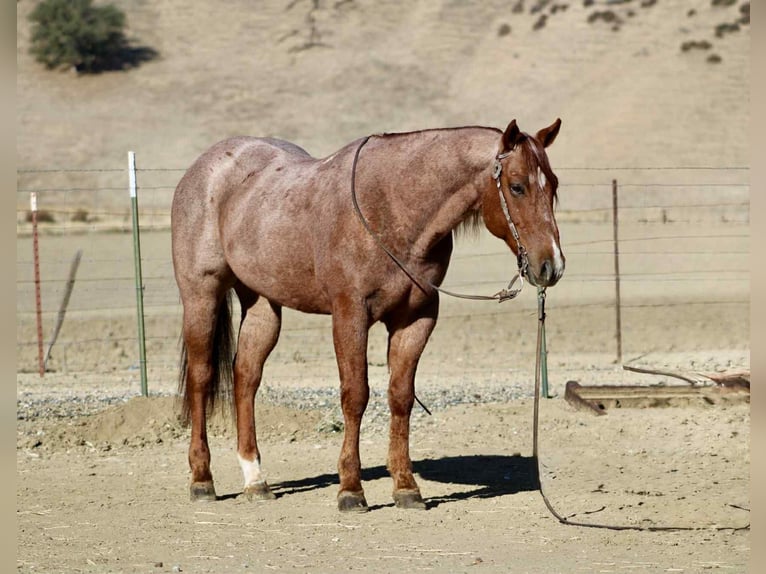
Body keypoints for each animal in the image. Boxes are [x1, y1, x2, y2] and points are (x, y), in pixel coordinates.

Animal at [171, 118, 564, 512]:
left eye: (554, 185)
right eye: (516, 186)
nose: (552, 266)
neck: (393, 208)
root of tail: (205, 168)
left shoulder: (416, 319)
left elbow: (401, 396)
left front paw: (406, 487)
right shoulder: (350, 314)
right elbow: (355, 395)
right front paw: (351, 489)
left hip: (262, 304)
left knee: (246, 376)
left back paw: (255, 479)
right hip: (201, 295)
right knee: (202, 377)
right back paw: (202, 480)